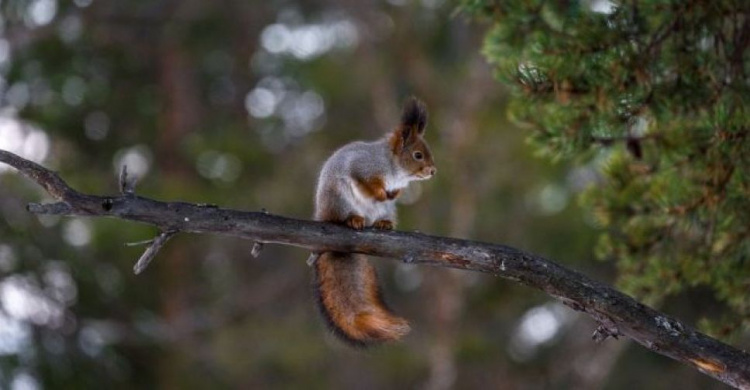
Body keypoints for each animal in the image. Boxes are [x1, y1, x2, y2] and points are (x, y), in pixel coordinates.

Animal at [312, 96, 440, 346]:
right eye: (418, 155)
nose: (433, 171)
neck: (394, 167)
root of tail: (322, 212)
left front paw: (394, 193)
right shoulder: (363, 166)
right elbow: (366, 182)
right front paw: (380, 192)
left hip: (386, 211)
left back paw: (383, 224)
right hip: (339, 199)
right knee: (342, 216)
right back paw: (353, 220)